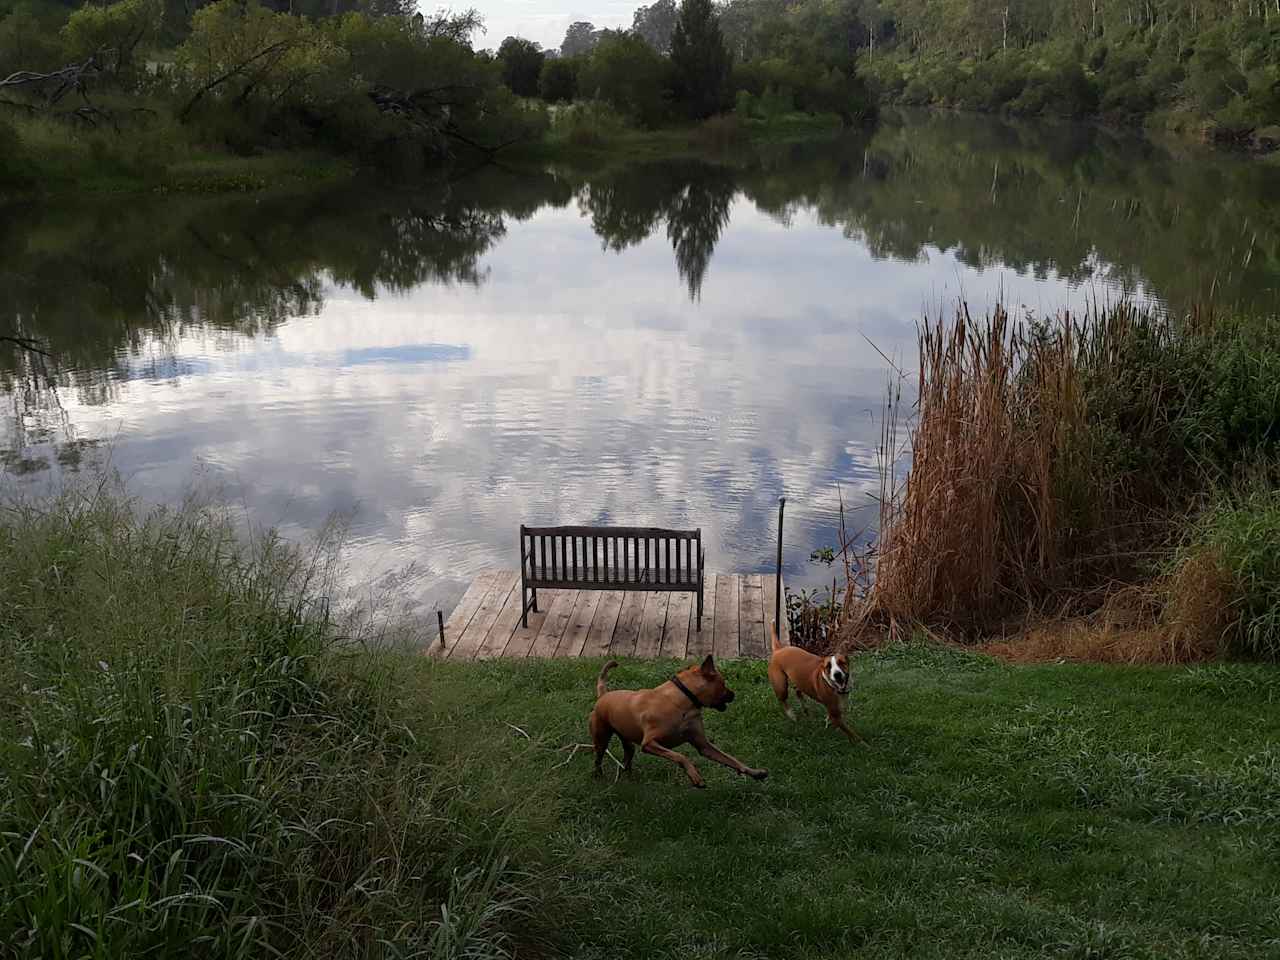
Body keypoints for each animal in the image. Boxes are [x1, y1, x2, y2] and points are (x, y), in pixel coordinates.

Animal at [588, 660, 768, 788]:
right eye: (723, 684)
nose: (733, 694)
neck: (683, 701)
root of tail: (603, 695)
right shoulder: (649, 743)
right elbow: (681, 756)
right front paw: (695, 776)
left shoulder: (704, 745)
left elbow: (732, 760)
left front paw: (755, 772)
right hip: (601, 738)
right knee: (598, 757)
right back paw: (598, 775)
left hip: (626, 740)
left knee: (628, 755)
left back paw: (628, 775)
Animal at [762, 619, 865, 747]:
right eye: (828, 666)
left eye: (842, 663)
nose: (837, 674)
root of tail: (779, 649)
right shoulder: (835, 715)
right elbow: (850, 731)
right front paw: (863, 744)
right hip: (781, 686)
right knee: (782, 699)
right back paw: (791, 715)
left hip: (797, 680)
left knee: (798, 692)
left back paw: (806, 709)